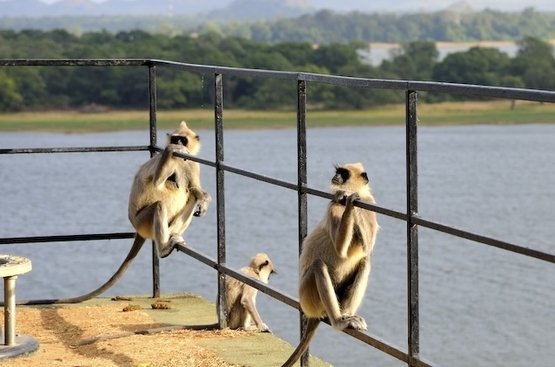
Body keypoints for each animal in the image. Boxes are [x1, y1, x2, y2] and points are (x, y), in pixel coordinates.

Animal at [282, 164, 378, 367]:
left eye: (343, 173)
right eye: (338, 171)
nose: (335, 177)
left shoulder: (370, 203)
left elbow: (368, 247)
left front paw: (352, 201)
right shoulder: (333, 206)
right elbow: (341, 249)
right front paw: (349, 202)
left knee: (366, 260)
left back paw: (347, 314)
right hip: (308, 297)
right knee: (318, 265)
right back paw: (339, 321)